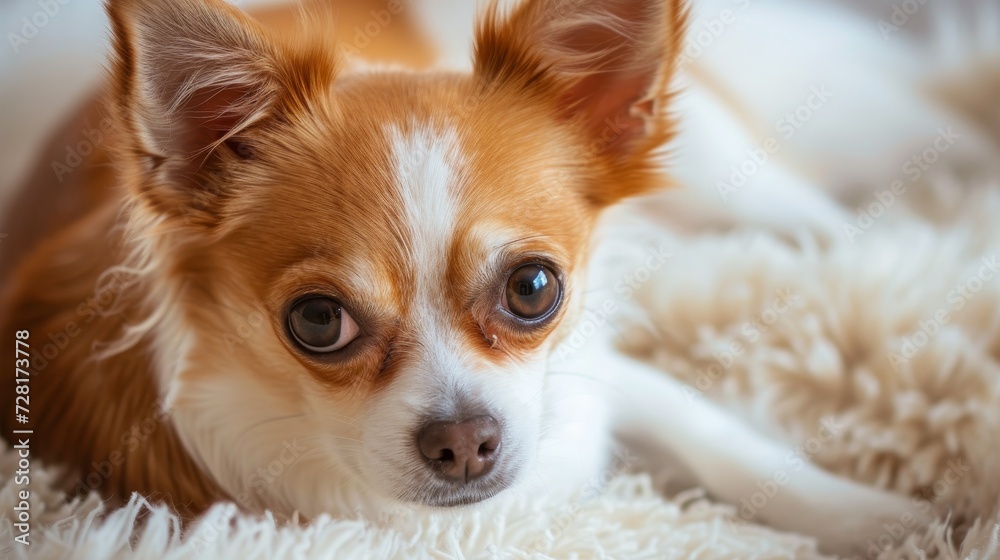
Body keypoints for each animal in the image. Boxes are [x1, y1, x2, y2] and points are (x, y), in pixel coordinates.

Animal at [3, 0, 932, 552]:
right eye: (317, 321)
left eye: (533, 289)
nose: (462, 442)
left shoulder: (580, 379)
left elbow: (716, 434)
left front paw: (881, 519)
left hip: (721, 171)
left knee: (815, 218)